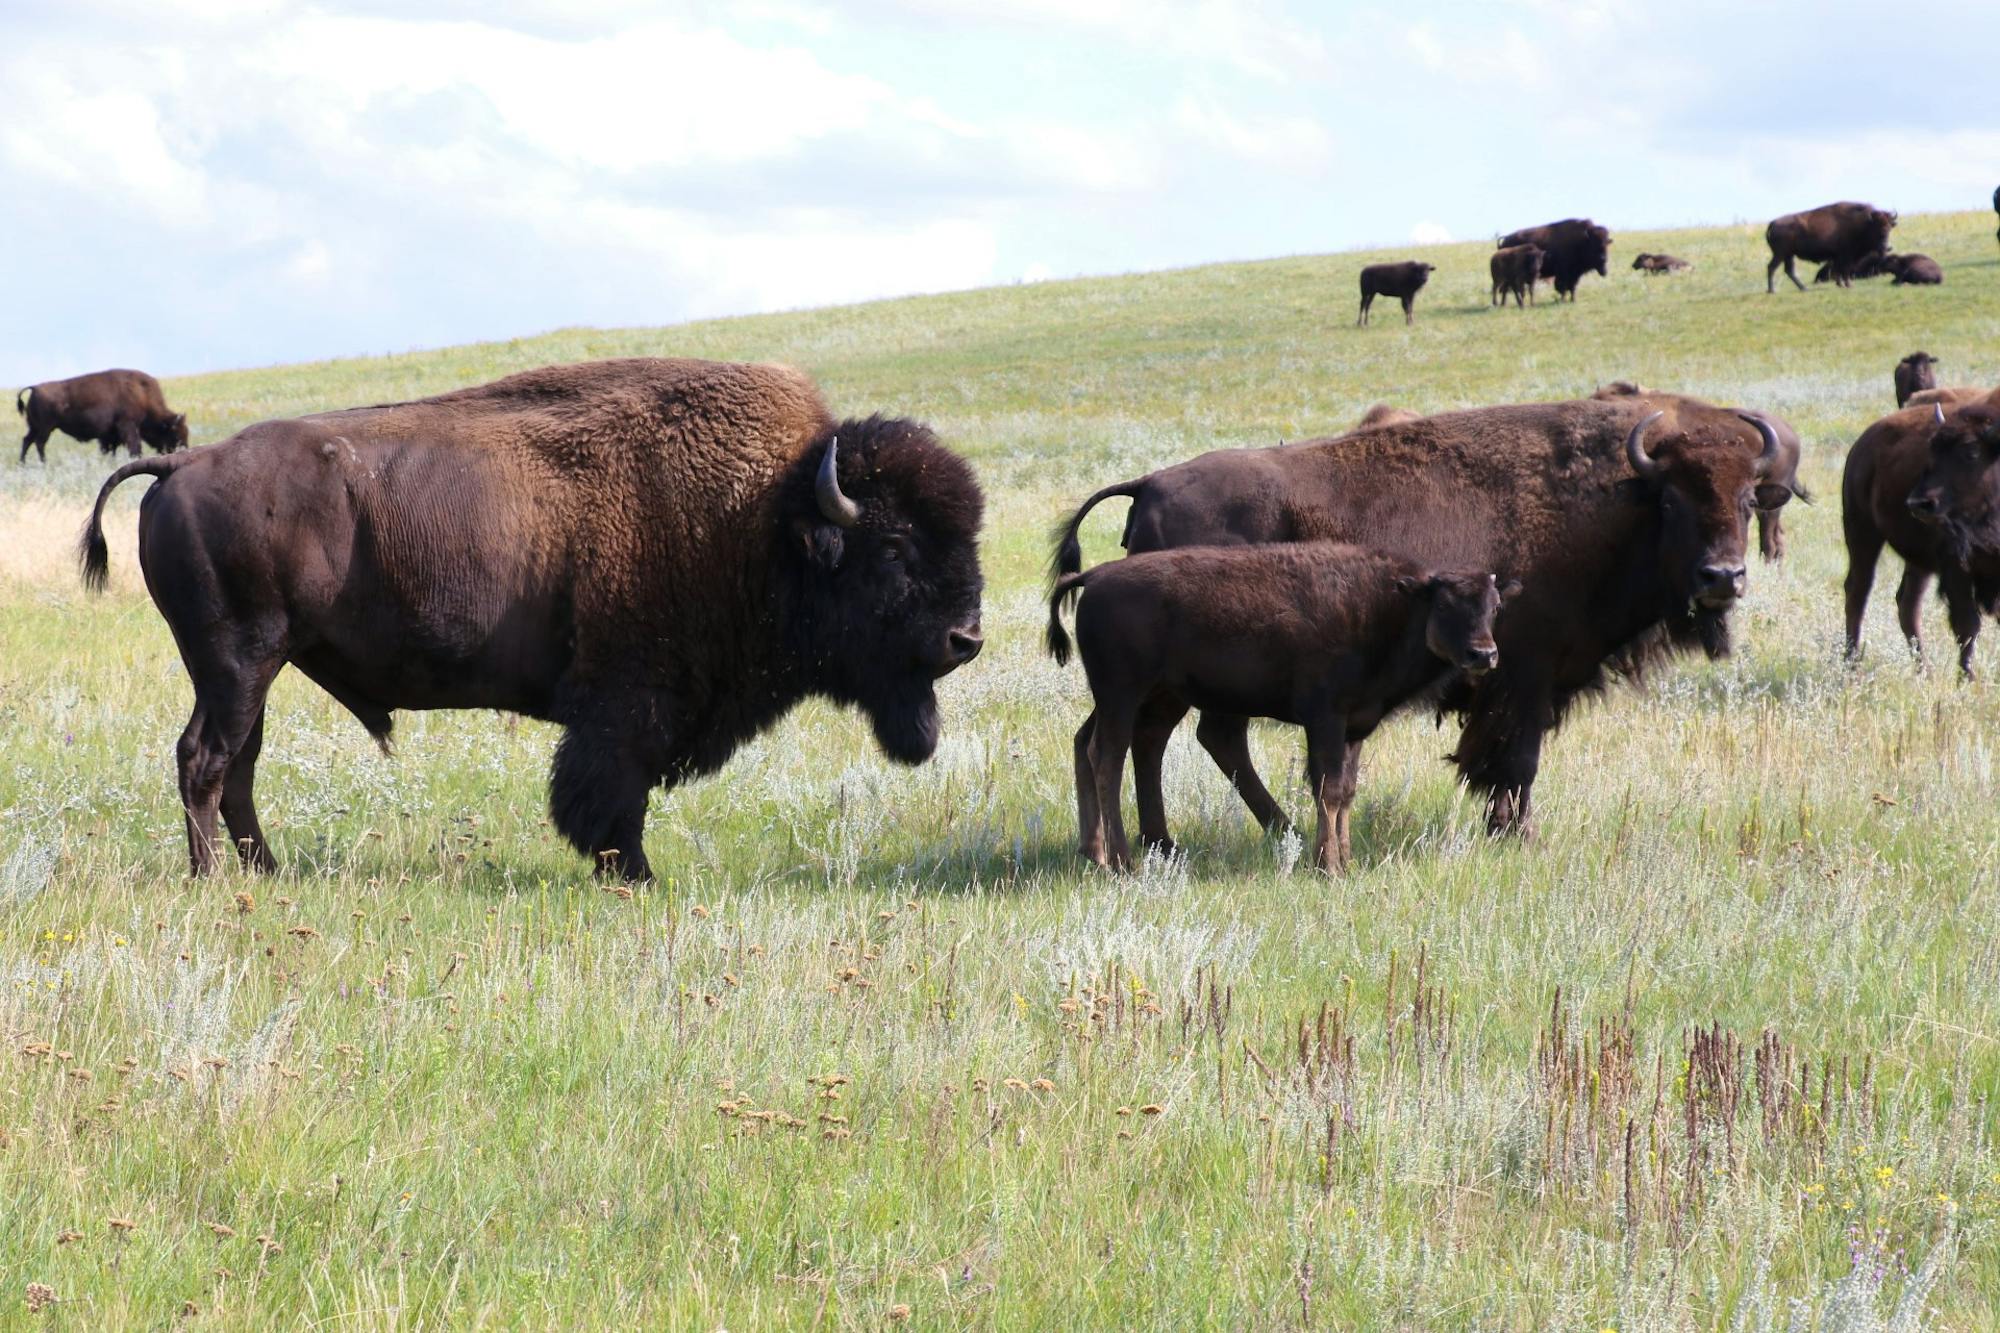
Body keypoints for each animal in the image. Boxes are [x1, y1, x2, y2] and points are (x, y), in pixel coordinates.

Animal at [82, 360, 988, 880]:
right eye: (896, 547)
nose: (966, 637)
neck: (763, 516)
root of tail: (184, 464)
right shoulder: (626, 707)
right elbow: (610, 794)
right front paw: (634, 875)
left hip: (253, 671)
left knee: (237, 765)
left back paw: (268, 872)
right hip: (237, 662)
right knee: (205, 759)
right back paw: (212, 879)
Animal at [1048, 544, 1504, 872]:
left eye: (1494, 606)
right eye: (1443, 605)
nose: (1483, 654)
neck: (1390, 607)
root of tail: (1095, 576)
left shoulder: (1354, 728)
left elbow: (1346, 790)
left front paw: (1346, 861)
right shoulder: (1325, 720)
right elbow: (1328, 790)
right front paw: (1328, 867)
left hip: (1144, 697)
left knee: (1090, 743)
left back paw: (1093, 851)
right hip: (1122, 695)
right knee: (1107, 757)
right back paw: (1120, 862)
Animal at [1056, 394, 1808, 844]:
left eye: (1748, 499)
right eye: (1674, 501)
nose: (1722, 578)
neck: (1615, 502)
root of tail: (1150, 484)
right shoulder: (1526, 675)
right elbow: (1517, 760)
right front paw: (1516, 834)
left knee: (1169, 739)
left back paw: (1178, 840)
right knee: (1179, 739)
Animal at [1840, 390, 2000, 668]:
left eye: (1971, 452)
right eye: (1932, 451)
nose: (1918, 503)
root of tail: (1862, 444)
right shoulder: (1955, 567)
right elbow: (1968, 627)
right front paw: (1966, 677)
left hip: (1918, 561)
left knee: (1907, 603)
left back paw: (1923, 669)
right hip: (1862, 531)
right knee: (1858, 592)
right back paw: (1851, 664)